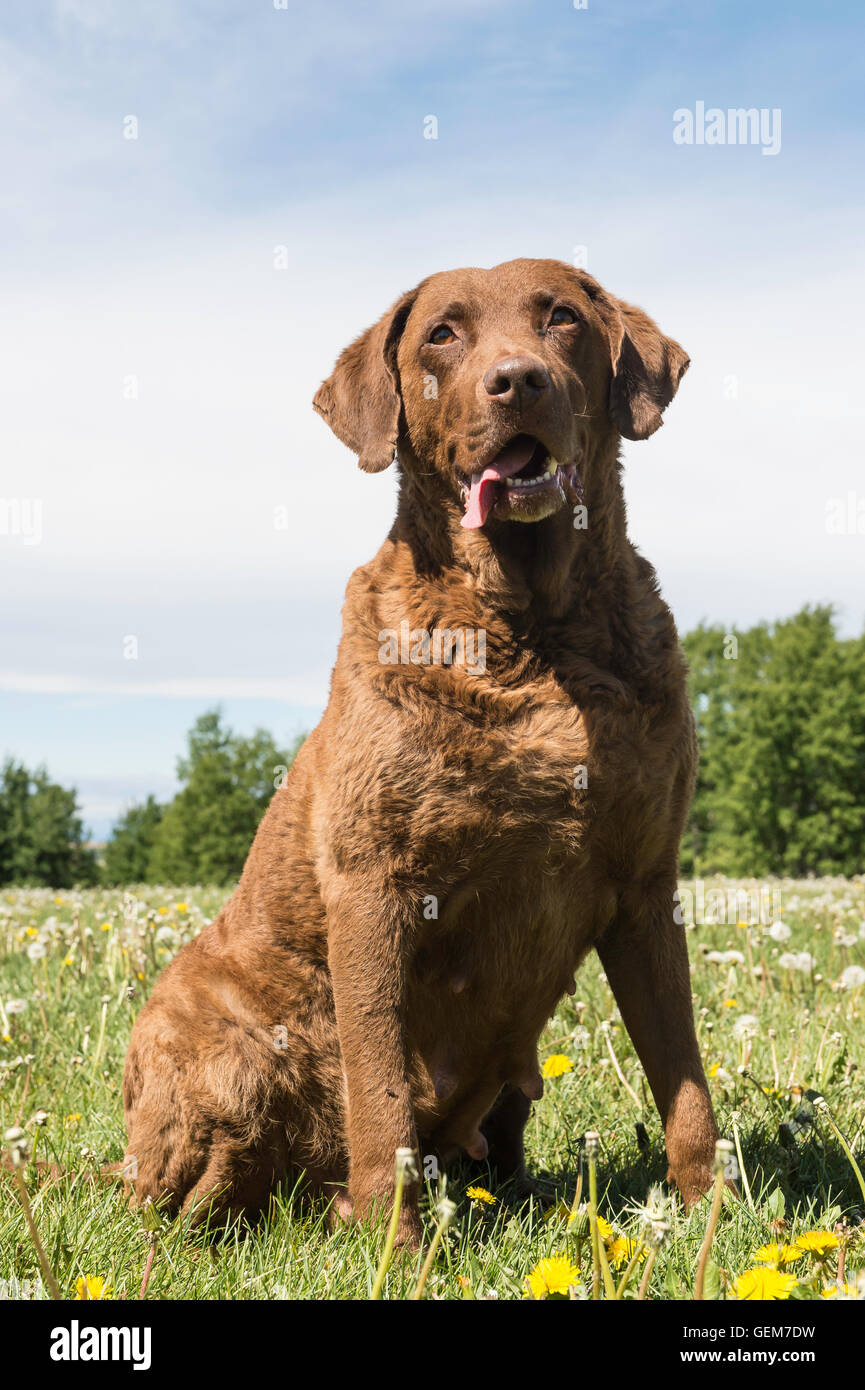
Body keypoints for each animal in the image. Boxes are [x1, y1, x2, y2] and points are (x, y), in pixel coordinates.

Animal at [122, 258, 717, 1239]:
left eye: (561, 318)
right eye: (442, 334)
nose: (518, 380)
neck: (532, 632)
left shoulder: (645, 884)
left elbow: (685, 1083)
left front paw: (717, 1221)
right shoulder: (374, 887)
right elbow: (381, 1098)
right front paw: (395, 1250)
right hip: (214, 1058)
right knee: (186, 1204)